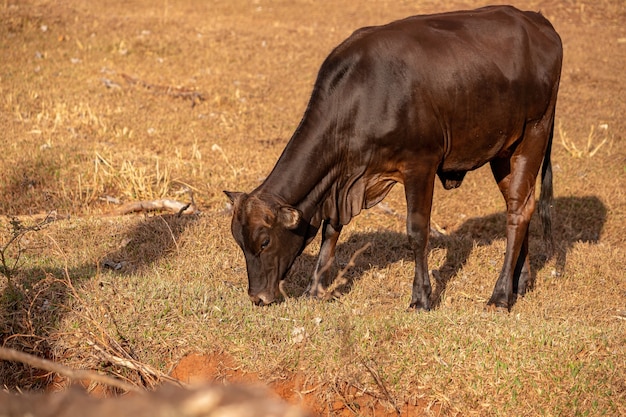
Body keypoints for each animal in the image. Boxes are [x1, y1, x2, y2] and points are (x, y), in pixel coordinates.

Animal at [223, 4, 560, 310]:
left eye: (264, 241)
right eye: (239, 241)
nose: (258, 297)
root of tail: (537, 21)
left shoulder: (420, 165)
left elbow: (417, 232)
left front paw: (421, 298)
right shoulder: (342, 183)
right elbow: (331, 230)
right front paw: (314, 288)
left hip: (534, 133)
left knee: (517, 213)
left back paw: (500, 296)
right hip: (505, 151)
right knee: (522, 205)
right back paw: (520, 283)